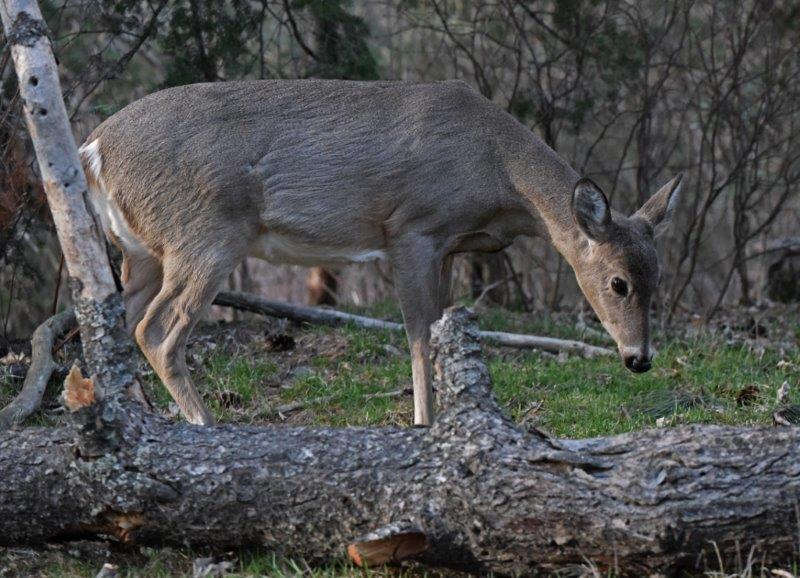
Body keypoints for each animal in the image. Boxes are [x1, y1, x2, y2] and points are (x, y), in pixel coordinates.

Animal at [78, 79, 682, 427]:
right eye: (618, 283)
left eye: (658, 279)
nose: (639, 358)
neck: (497, 172)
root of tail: (93, 149)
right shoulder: (412, 229)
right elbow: (416, 335)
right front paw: (424, 423)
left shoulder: (448, 246)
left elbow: (439, 328)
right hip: (205, 232)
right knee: (157, 331)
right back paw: (206, 425)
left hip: (143, 250)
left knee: (112, 324)